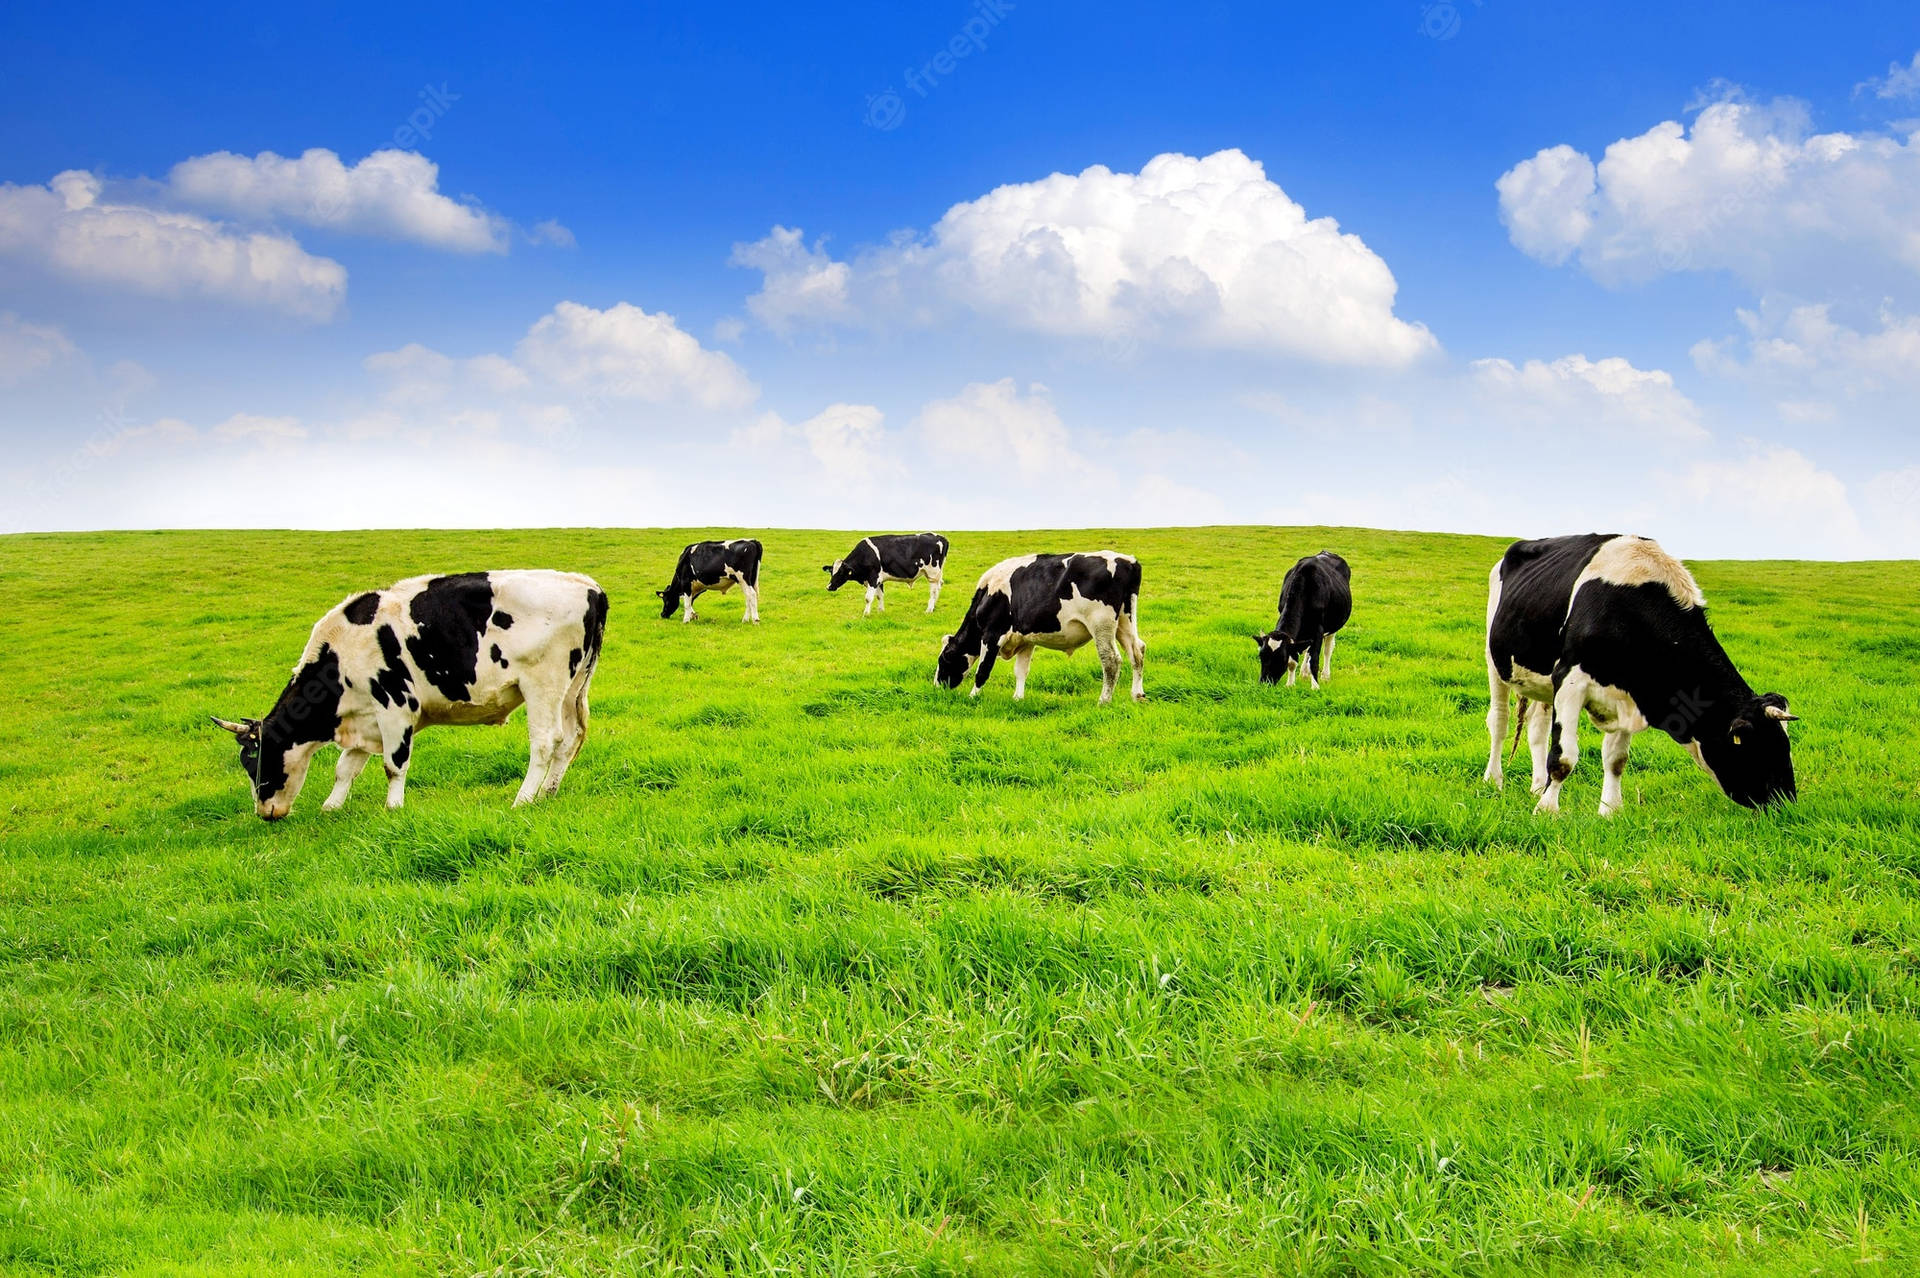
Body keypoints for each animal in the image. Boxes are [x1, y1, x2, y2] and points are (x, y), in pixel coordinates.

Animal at [209, 568, 602, 817]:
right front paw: (331, 806)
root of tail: (589, 587)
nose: (264, 813)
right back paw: (547, 792)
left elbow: (393, 764)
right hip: (572, 689)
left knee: (546, 742)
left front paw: (393, 807)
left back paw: (523, 799)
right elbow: (344, 768)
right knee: (570, 740)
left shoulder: (394, 706)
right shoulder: (364, 717)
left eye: (253, 762)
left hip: (543, 684)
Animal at [936, 548, 1144, 702]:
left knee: (1111, 660)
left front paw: (973, 696)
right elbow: (1021, 671)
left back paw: (1104, 700)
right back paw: (1137, 695)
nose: (937, 685)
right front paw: (1018, 698)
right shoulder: (1026, 640)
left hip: (1101, 623)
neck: (987, 594)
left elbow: (983, 669)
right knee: (1137, 651)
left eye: (944, 658)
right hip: (1125, 621)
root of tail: (1128, 561)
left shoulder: (992, 634)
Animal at [1251, 548, 1359, 686]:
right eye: (1261, 655)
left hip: (1333, 626)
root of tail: (1327, 552)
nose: (1265, 682)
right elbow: (1295, 660)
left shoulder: (1319, 628)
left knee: (1327, 649)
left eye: (1281, 658)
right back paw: (1304, 673)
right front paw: (1290, 684)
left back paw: (1325, 676)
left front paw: (1315, 686)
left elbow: (1315, 659)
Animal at [1482, 529, 1797, 809]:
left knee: (1537, 725)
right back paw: (1494, 781)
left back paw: (1537, 786)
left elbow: (1616, 760)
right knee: (1499, 721)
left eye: (1786, 744)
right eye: (1759, 747)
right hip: (1494, 659)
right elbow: (1563, 758)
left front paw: (1610, 810)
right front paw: (1547, 811)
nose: (1786, 802)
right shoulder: (1570, 680)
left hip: (1542, 681)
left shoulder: (1629, 694)